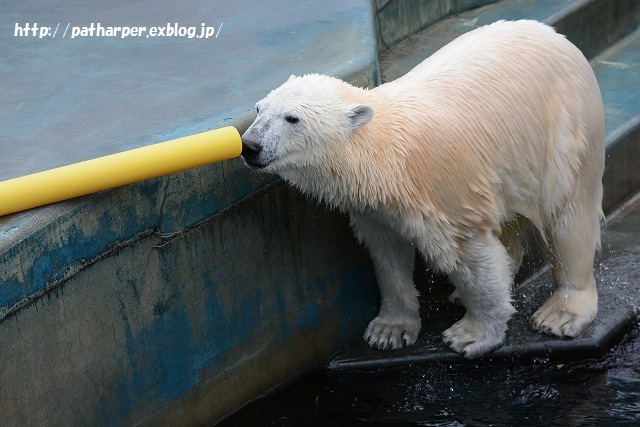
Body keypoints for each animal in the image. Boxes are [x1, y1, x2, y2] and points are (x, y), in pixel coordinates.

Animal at [240, 20, 604, 362]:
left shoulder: (446, 193)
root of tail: (555, 35)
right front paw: (389, 331)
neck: (384, 155)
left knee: (569, 217)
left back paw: (561, 314)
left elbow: (469, 257)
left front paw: (471, 335)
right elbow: (387, 256)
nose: (249, 145)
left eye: (292, 118)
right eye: (259, 109)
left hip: (565, 132)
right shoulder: (375, 206)